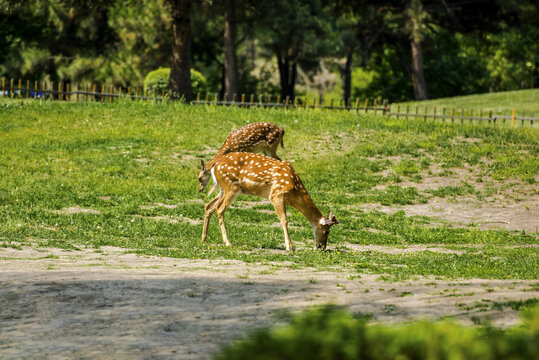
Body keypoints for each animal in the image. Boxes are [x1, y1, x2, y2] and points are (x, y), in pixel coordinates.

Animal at [200, 152, 340, 250]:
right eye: (327, 231)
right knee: (219, 208)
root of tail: (215, 165)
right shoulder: (276, 195)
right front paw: (290, 247)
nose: (322, 247)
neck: (295, 191)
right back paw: (227, 242)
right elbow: (284, 220)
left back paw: (204, 239)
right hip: (231, 187)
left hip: (223, 189)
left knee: (209, 206)